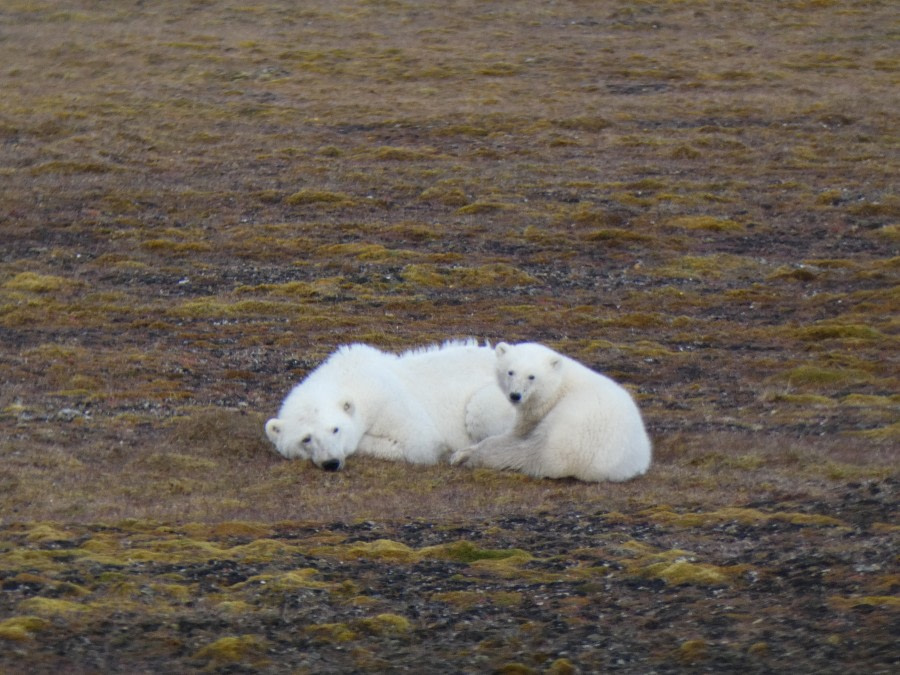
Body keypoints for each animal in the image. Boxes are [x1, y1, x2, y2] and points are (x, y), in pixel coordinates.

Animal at [264, 340, 512, 472]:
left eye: (335, 429)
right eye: (305, 439)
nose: (331, 462)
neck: (351, 376)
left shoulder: (389, 400)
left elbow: (419, 442)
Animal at [450, 344, 652, 480]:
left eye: (531, 376)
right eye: (510, 372)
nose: (515, 395)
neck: (559, 383)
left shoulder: (541, 407)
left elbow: (517, 433)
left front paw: (466, 453)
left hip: (568, 429)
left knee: (530, 453)